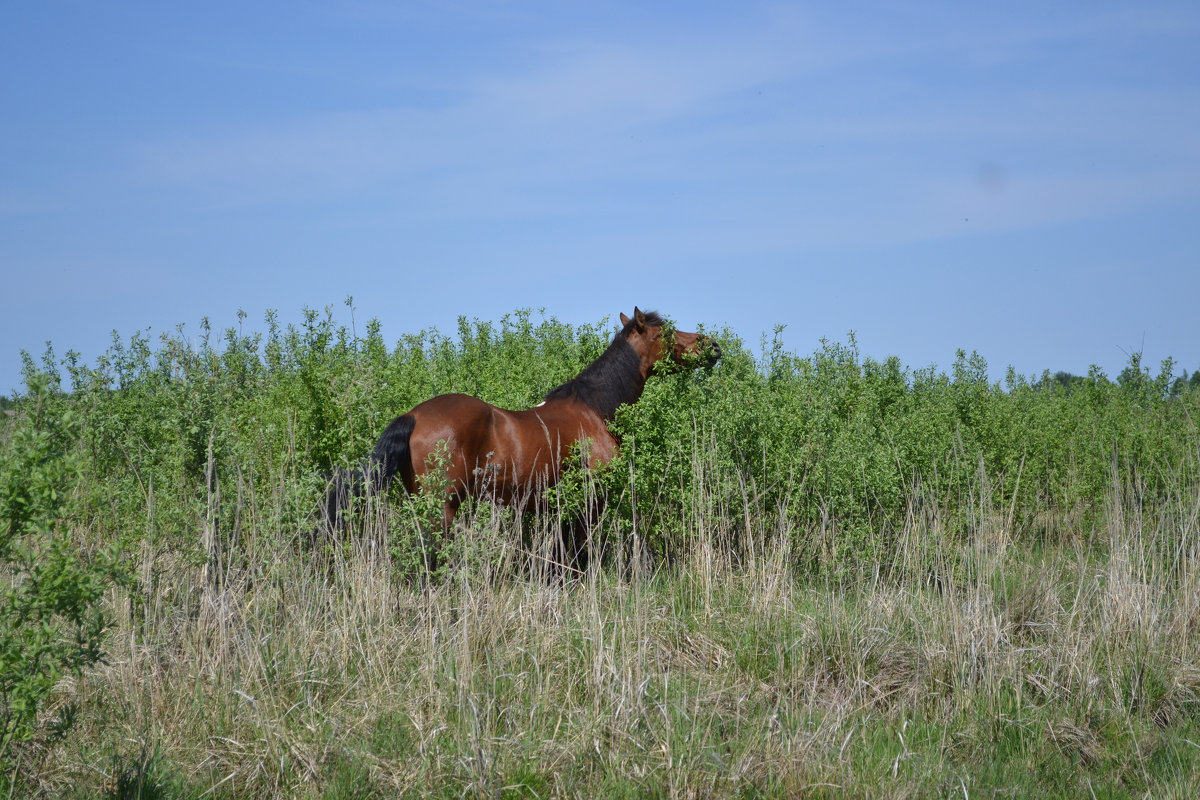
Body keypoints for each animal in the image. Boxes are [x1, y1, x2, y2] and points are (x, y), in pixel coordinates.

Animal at [316, 307, 720, 575]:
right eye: (665, 333)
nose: (712, 346)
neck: (595, 408)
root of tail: (414, 416)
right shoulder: (590, 503)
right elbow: (580, 557)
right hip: (442, 509)